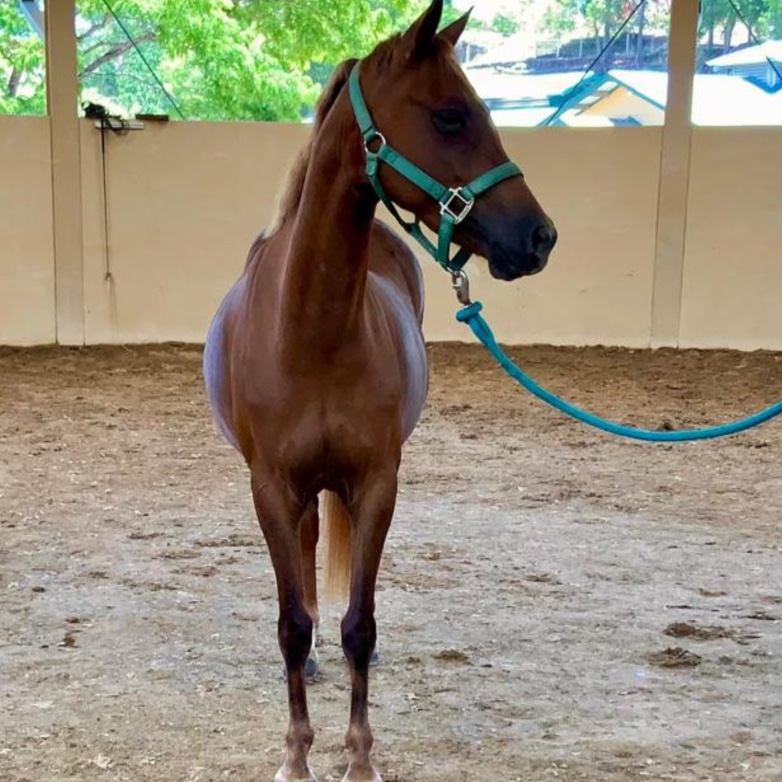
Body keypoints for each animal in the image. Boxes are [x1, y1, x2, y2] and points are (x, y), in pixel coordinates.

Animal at [203, 2, 556, 780]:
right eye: (451, 116)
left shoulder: (376, 484)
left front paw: (360, 758)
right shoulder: (269, 488)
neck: (312, 330)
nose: (540, 237)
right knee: (305, 563)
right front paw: (296, 755)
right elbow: (290, 622)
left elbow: (360, 625)